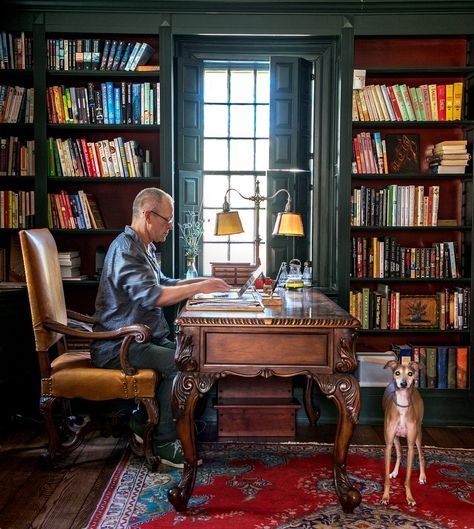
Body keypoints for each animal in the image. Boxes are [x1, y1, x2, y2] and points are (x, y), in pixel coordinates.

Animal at [380, 358, 428, 504]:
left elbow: (407, 478)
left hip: (418, 435)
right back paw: (395, 472)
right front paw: (385, 497)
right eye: (397, 372)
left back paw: (422, 477)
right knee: (400, 453)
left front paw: (409, 498)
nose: (403, 383)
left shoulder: (411, 446)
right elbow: (386, 478)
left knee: (421, 454)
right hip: (395, 438)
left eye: (410, 373)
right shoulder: (388, 445)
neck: (401, 405)